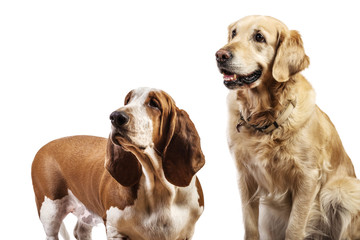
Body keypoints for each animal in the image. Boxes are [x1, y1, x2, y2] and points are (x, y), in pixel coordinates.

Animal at [31, 87, 205, 240]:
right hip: (50, 210)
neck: (159, 187)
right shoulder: (115, 230)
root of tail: (43, 147)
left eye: (154, 104)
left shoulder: (186, 233)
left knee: (81, 231)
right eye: (127, 100)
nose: (116, 116)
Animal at [217, 15, 360, 239]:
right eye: (233, 33)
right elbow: (250, 224)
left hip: (343, 190)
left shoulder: (308, 177)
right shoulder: (245, 175)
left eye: (259, 37)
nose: (220, 55)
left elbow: (294, 228)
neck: (264, 120)